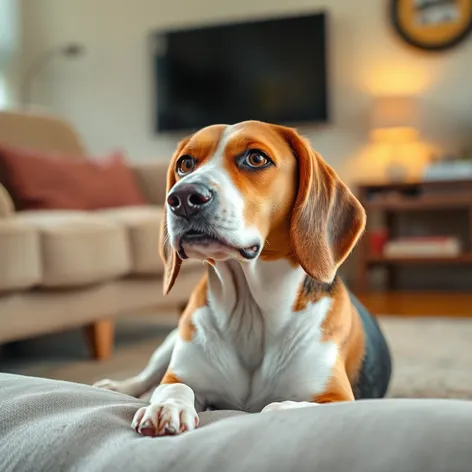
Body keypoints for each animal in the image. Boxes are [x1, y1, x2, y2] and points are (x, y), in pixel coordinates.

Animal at [95, 122, 390, 438]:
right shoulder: (179, 374)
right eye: (185, 164)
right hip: (172, 338)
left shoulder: (338, 398)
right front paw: (166, 406)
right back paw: (118, 385)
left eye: (256, 158)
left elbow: (277, 406)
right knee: (145, 377)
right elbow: (174, 387)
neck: (251, 314)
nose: (182, 198)